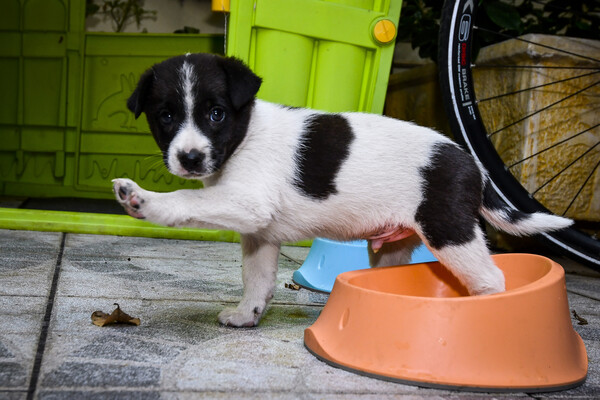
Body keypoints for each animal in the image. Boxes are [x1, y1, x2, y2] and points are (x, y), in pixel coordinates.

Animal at [113, 52, 572, 328]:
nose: (189, 158)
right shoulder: (260, 234)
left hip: (450, 231)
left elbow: (186, 200)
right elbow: (257, 280)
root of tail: (472, 162)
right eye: (166, 116)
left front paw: (144, 200)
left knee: (492, 279)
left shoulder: (248, 203)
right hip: (392, 248)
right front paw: (247, 315)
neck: (244, 137)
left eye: (216, 114)